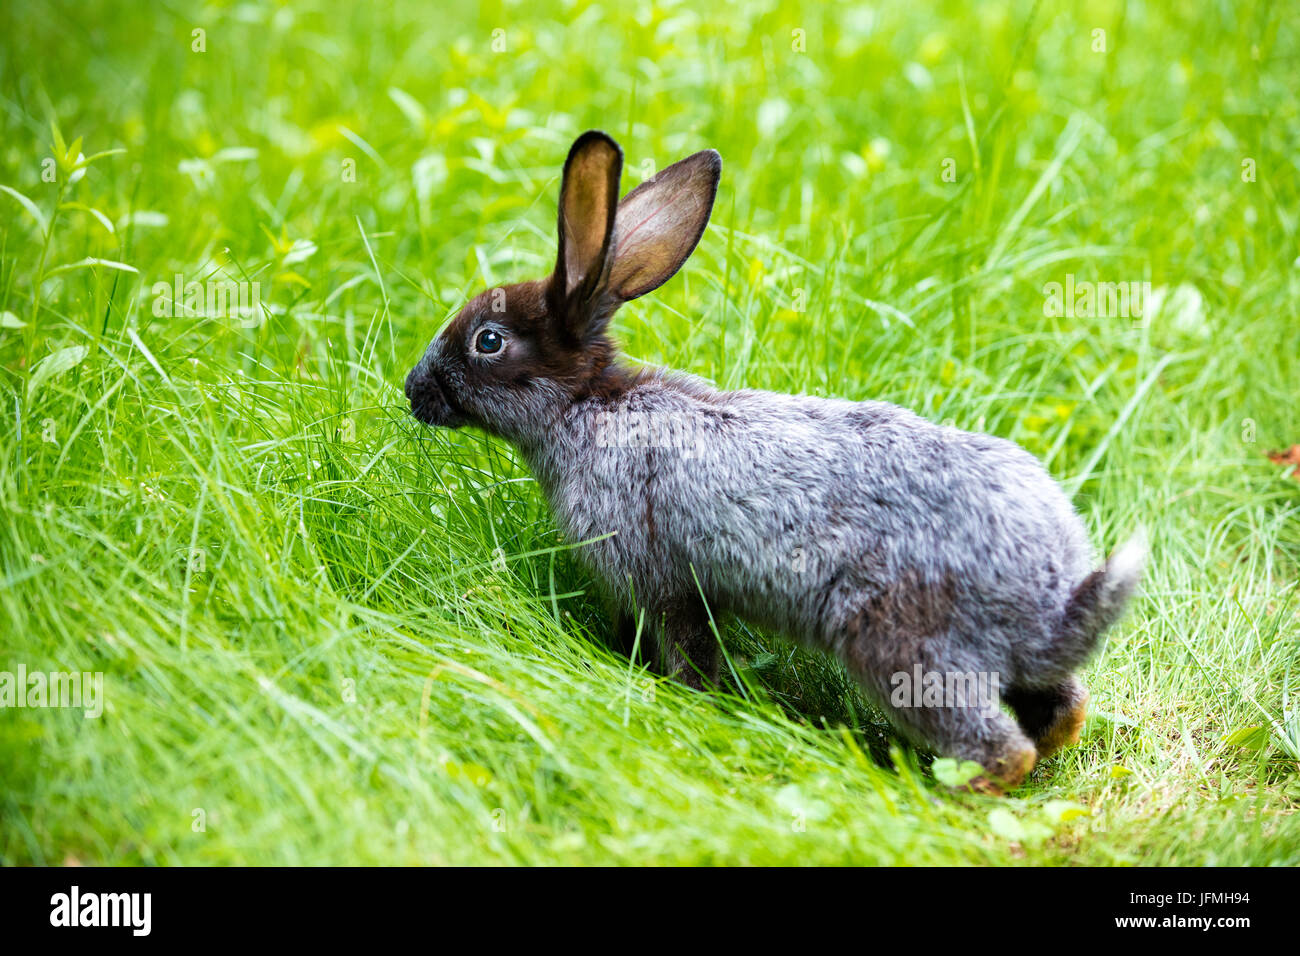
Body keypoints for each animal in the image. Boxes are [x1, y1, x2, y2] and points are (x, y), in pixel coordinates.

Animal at [405, 130, 1145, 793]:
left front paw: (688, 697)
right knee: (1060, 709)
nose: (415, 391)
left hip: (903, 645)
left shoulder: (660, 579)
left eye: (488, 340)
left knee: (1000, 746)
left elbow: (685, 646)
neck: (588, 406)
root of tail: (1049, 591)